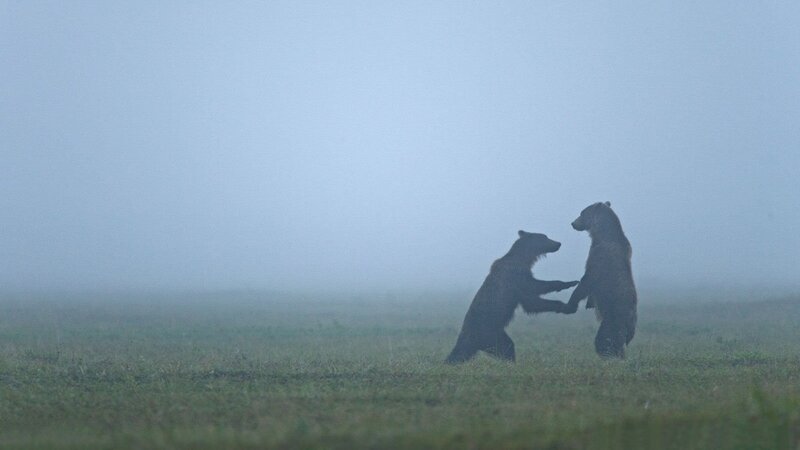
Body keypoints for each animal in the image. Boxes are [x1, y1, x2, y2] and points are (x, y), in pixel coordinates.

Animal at [445, 230, 579, 364]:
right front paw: (569, 285)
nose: (558, 243)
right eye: (545, 237)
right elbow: (533, 293)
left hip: (497, 333)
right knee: (503, 348)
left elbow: (531, 303)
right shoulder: (516, 277)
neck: (524, 259)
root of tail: (465, 334)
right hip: (488, 333)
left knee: (507, 345)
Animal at [565, 201, 637, 358]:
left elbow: (587, 280)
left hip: (614, 316)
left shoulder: (599, 255)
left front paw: (571, 303)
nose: (573, 223)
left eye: (582, 213)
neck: (602, 234)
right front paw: (589, 303)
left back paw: (609, 355)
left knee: (605, 338)